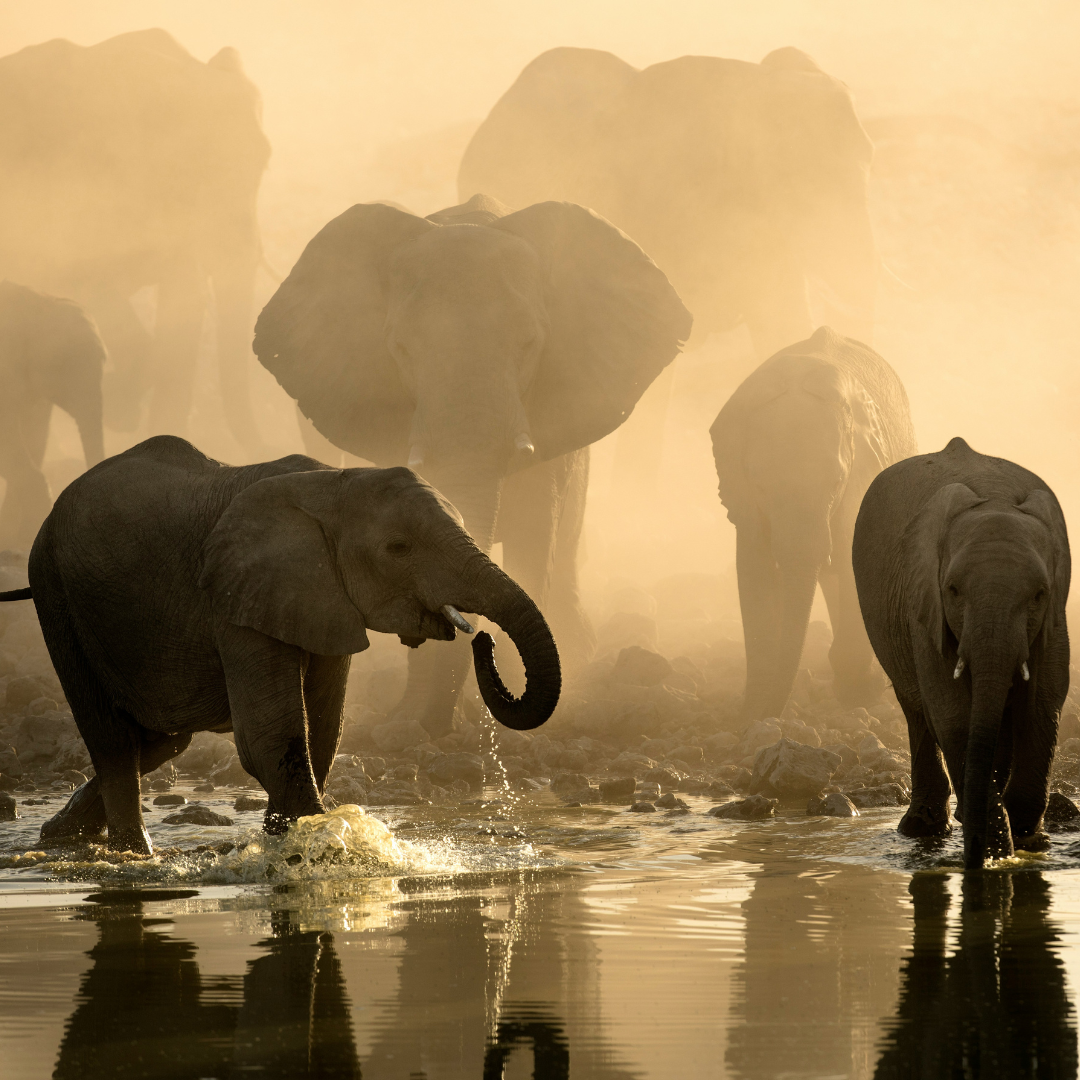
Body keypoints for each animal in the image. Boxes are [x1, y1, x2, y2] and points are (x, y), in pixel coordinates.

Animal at [9, 434, 560, 854]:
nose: (484, 638)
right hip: (54, 591)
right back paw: (132, 856)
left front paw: (292, 836)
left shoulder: (323, 599)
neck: (333, 482)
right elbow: (270, 735)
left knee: (160, 740)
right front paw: (319, 840)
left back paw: (55, 838)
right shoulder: (236, 597)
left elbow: (323, 729)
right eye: (398, 548)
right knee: (115, 741)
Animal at [711, 326, 916, 722]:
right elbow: (754, 570)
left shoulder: (860, 479)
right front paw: (752, 711)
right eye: (760, 485)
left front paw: (859, 694)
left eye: (835, 483)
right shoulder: (746, 502)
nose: (768, 716)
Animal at [852, 437, 1070, 869]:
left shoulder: (1056, 616)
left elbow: (1043, 703)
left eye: (1039, 594)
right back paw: (923, 828)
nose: (972, 860)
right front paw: (994, 852)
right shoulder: (925, 607)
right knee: (917, 709)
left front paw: (1027, 842)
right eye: (953, 590)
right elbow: (952, 711)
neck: (994, 498)